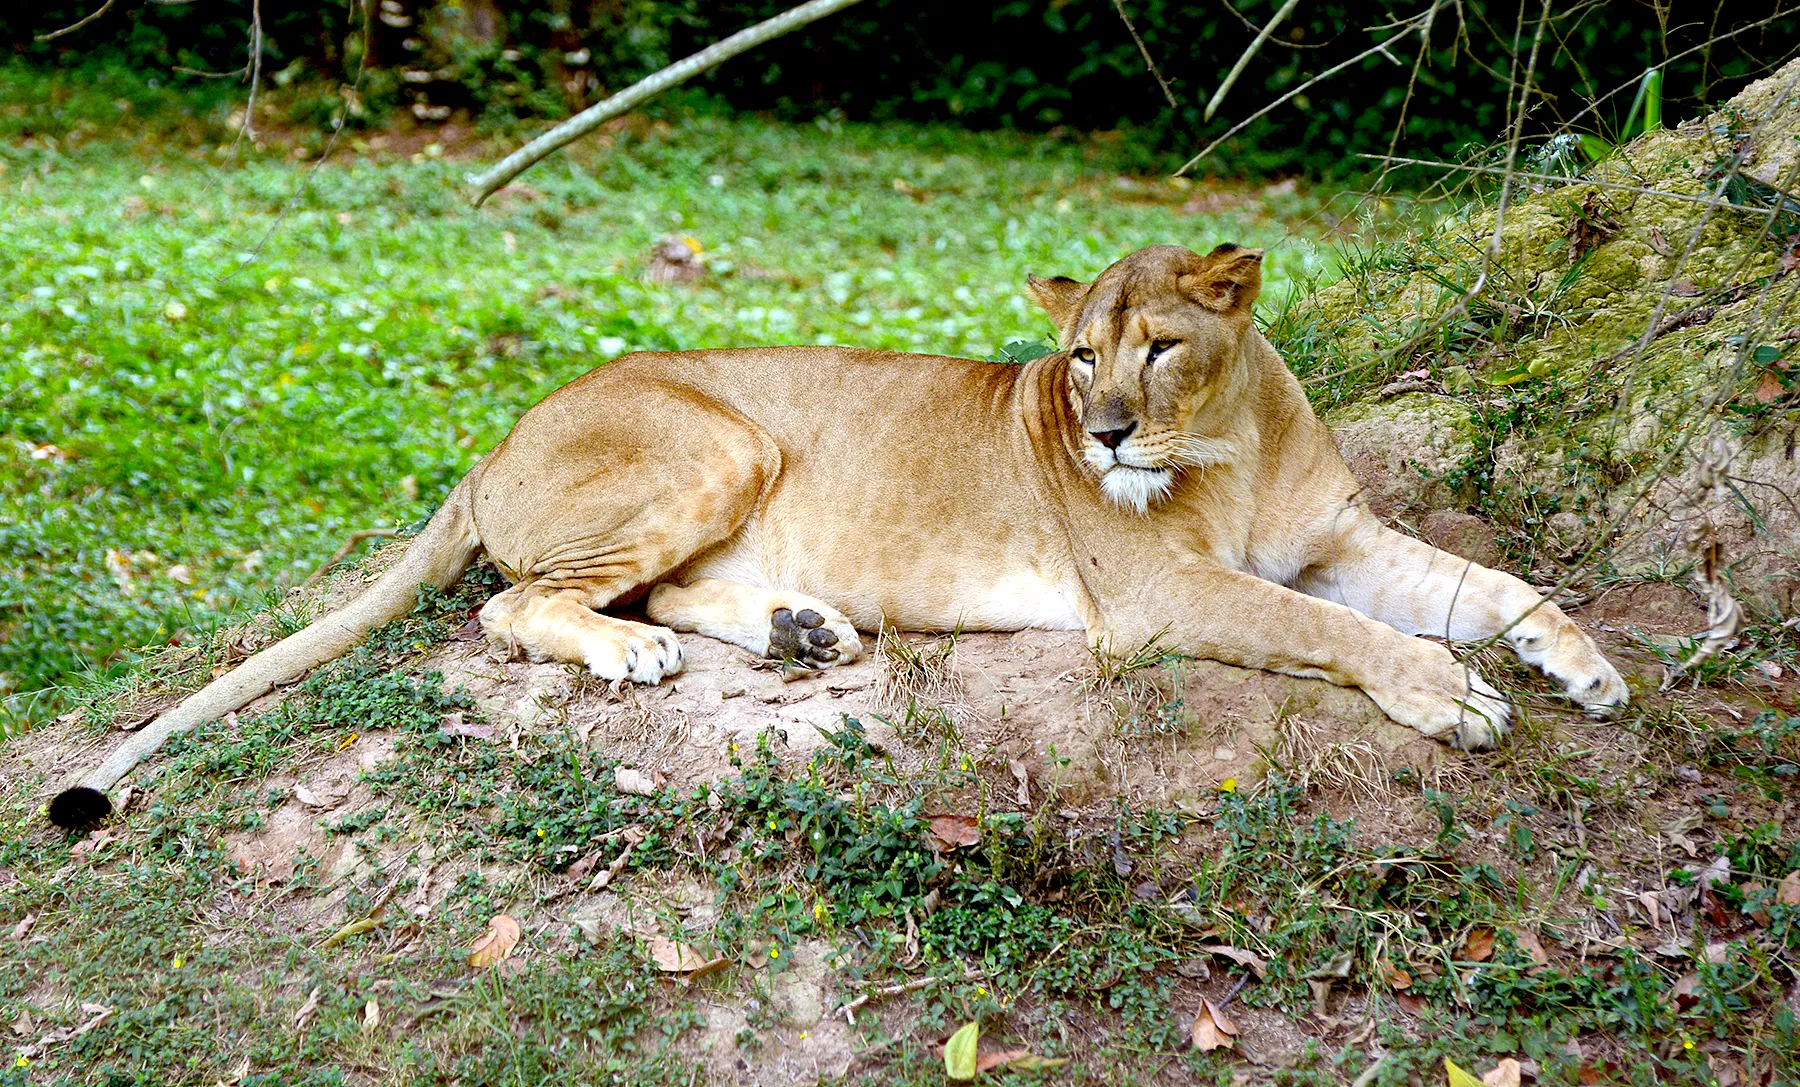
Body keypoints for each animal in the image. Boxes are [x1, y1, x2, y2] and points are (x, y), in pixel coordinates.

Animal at [48, 243, 1627, 828]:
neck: (1226, 443)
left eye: (1160, 347)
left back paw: (796, 626)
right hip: (722, 438)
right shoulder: (1159, 596)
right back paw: (647, 659)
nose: (1108, 433)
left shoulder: (1345, 535)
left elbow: (1485, 579)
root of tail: (495, 435)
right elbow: (1332, 626)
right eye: (1077, 358)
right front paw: (1450, 694)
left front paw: (1585, 665)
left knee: (657, 591)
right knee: (519, 606)